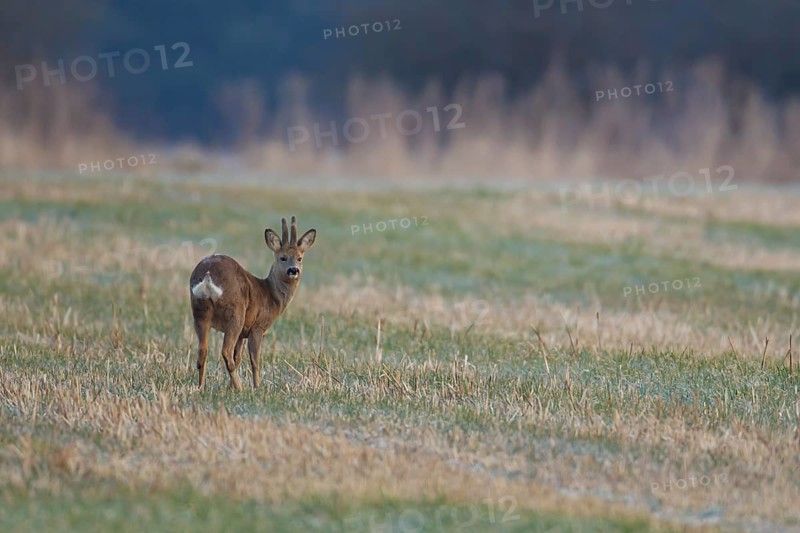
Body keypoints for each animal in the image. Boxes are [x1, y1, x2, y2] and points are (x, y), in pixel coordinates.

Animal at [189, 216, 316, 390]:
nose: (293, 270)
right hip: (235, 313)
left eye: (299, 258)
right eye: (282, 257)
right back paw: (240, 387)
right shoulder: (257, 327)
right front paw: (257, 387)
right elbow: (255, 360)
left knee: (203, 351)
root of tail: (207, 275)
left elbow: (238, 357)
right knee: (225, 351)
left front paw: (230, 387)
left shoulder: (243, 333)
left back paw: (202, 387)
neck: (271, 295)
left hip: (200, 312)